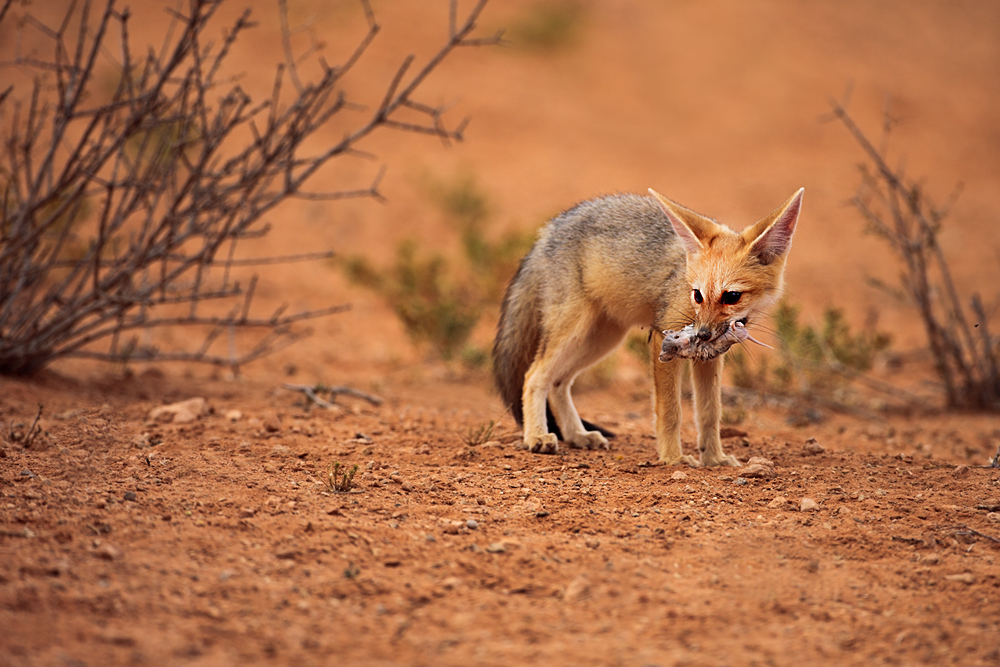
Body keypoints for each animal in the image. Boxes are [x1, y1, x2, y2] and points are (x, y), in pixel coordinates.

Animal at [492, 185, 804, 468]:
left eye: (732, 296)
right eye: (697, 295)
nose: (702, 334)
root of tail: (549, 228)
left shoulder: (709, 357)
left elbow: (709, 413)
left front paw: (714, 458)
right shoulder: (664, 338)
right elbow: (671, 411)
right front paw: (673, 458)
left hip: (601, 339)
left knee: (558, 383)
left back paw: (577, 435)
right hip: (574, 332)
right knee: (534, 376)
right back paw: (537, 437)